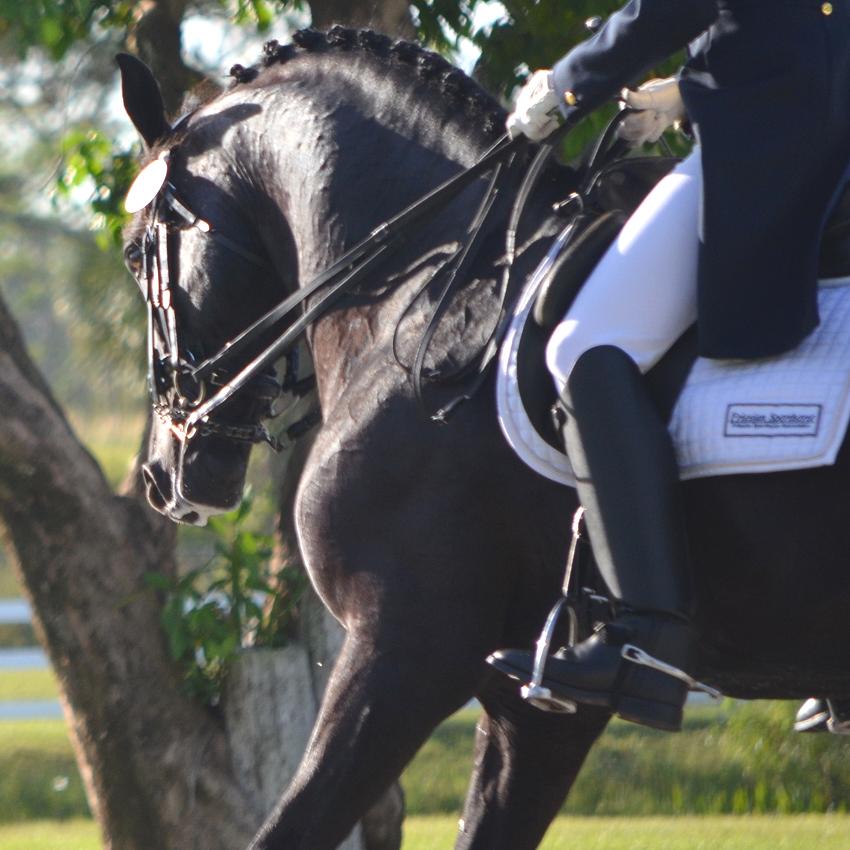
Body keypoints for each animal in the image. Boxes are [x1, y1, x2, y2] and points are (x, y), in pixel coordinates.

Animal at [116, 26, 848, 848]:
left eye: (137, 253)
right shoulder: (534, 710)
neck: (431, 282)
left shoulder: (406, 649)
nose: (161, 476)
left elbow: (289, 828)